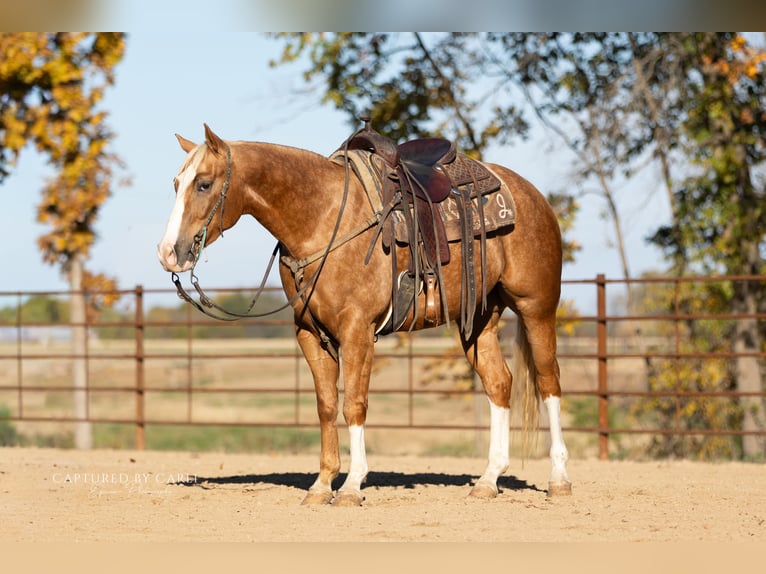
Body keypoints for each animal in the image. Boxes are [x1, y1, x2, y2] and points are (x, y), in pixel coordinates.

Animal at [157, 124, 571, 506]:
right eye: (176, 184)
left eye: (204, 184)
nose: (168, 253)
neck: (321, 219)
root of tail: (531, 194)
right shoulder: (309, 333)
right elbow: (327, 406)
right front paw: (321, 485)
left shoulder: (357, 329)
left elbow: (354, 403)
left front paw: (352, 486)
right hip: (480, 318)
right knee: (499, 383)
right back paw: (488, 480)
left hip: (536, 307)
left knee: (548, 382)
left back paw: (558, 480)